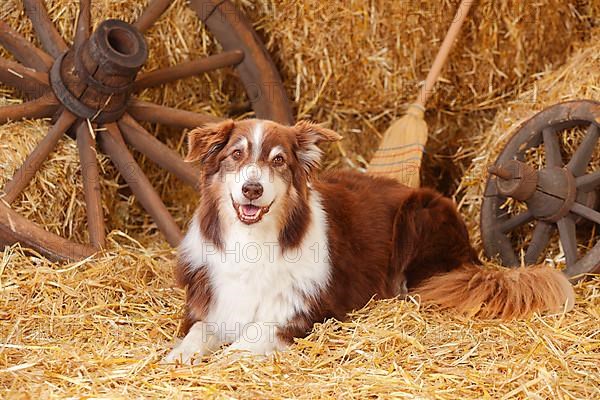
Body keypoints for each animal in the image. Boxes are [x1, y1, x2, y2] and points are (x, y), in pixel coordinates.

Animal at [163, 117, 572, 364]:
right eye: (236, 154)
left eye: (278, 161)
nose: (252, 189)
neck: (253, 241)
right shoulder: (210, 304)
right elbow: (198, 332)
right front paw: (178, 356)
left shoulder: (305, 312)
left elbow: (249, 341)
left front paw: (225, 360)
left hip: (417, 213)